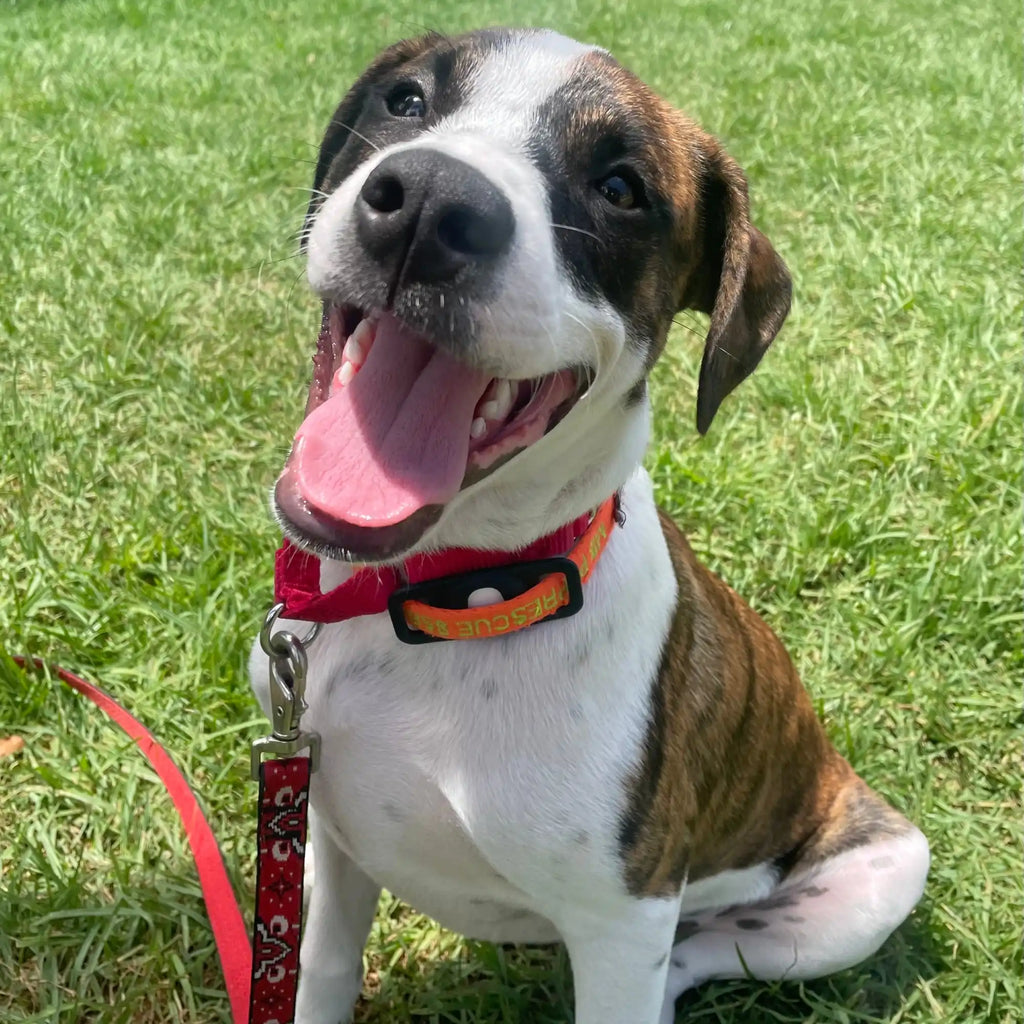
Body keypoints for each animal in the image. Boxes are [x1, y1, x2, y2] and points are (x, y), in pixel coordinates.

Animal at [251, 29, 933, 1024]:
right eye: (406, 100)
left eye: (620, 189)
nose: (429, 202)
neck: (455, 595)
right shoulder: (328, 836)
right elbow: (319, 969)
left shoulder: (624, 920)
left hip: (863, 890)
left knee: (694, 958)